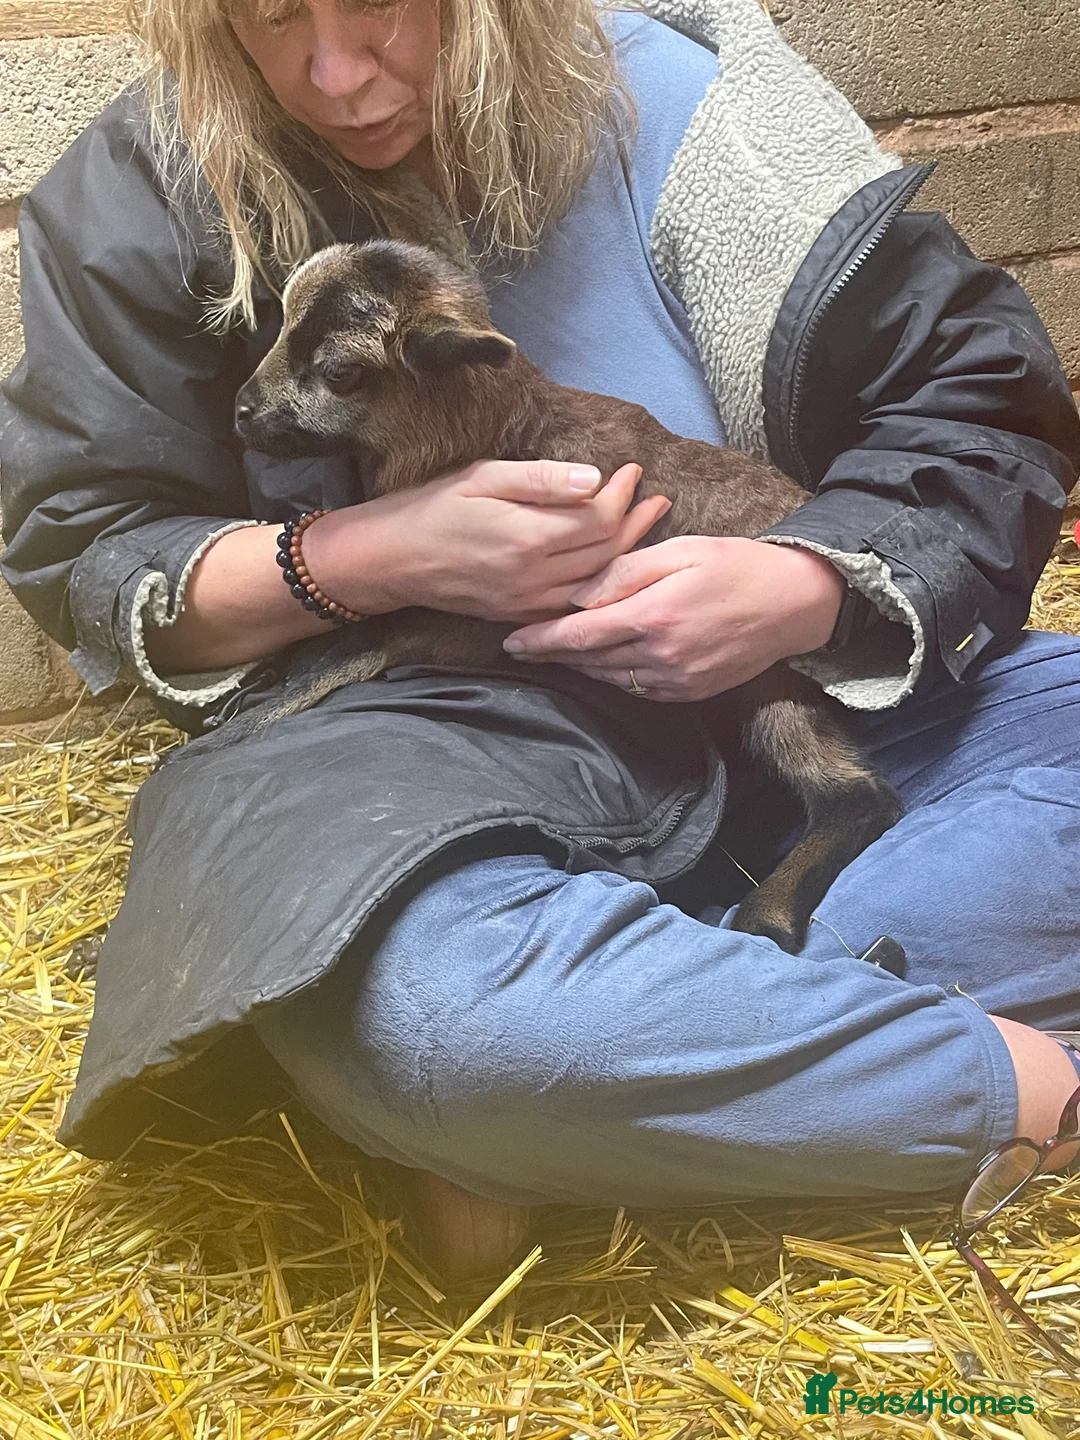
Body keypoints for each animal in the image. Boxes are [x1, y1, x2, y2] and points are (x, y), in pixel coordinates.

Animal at [233, 239, 901, 951]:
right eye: (281, 320)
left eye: (339, 372)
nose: (242, 411)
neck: (493, 433)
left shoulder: (461, 620)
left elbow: (349, 651)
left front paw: (247, 724)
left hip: (766, 673)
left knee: (856, 797)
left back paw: (766, 916)